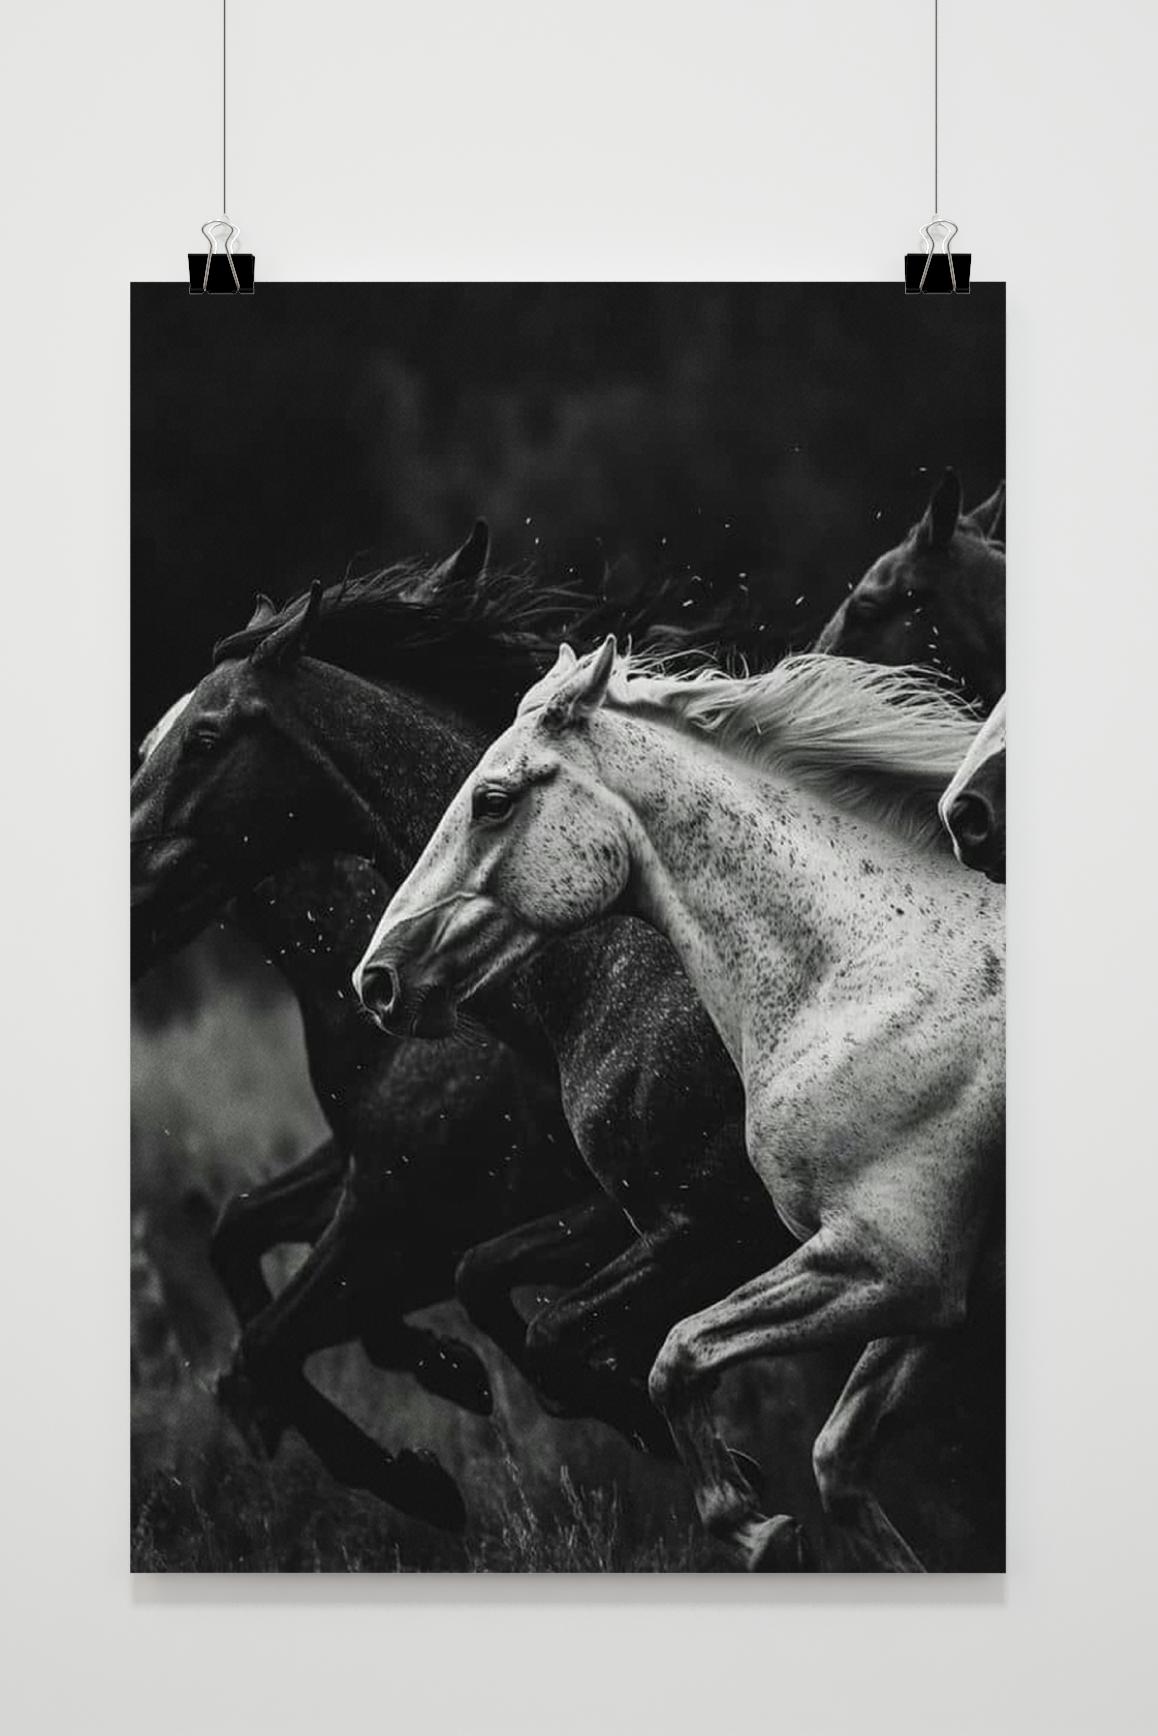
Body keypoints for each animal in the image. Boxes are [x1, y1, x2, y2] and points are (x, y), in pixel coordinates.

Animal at [131, 533, 803, 1487]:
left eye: (204, 735)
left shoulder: (688, 1223)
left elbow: (287, 1331)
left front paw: (417, 1469)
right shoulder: (408, 1197)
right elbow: (258, 1245)